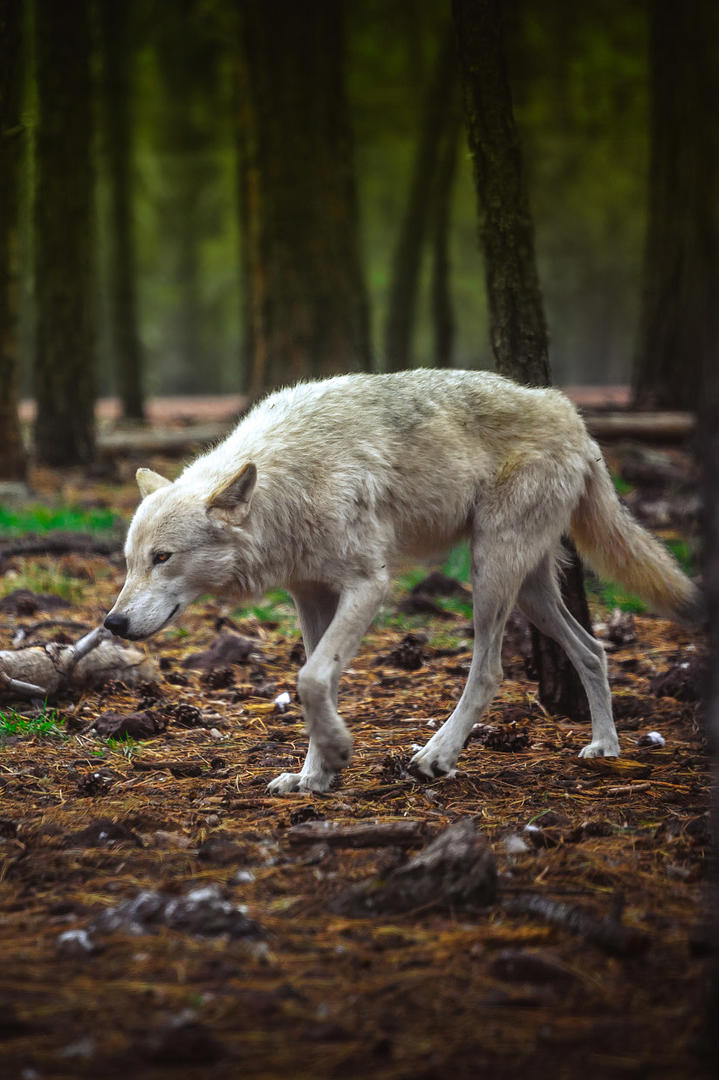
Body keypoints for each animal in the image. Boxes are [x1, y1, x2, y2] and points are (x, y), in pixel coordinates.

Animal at [105, 371, 695, 794]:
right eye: (130, 563)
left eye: (163, 557)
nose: (112, 622)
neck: (288, 486)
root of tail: (569, 412)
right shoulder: (310, 597)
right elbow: (318, 683)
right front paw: (315, 777)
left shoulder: (369, 586)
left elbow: (311, 679)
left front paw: (338, 754)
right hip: (529, 591)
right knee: (593, 649)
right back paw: (606, 747)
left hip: (490, 573)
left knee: (490, 672)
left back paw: (436, 757)